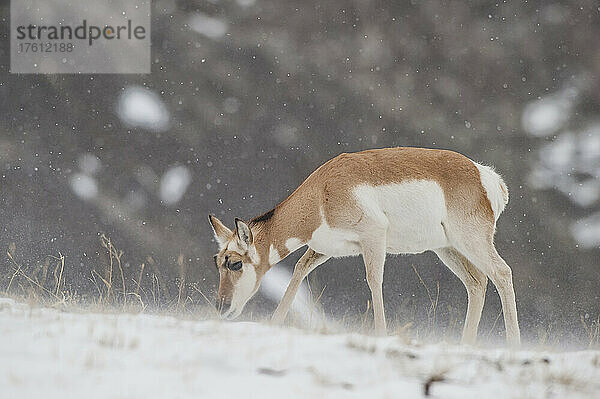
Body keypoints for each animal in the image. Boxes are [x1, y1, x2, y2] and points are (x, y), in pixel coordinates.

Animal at [210, 148, 520, 346]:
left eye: (235, 263)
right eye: (217, 261)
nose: (221, 308)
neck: (321, 192)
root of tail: (484, 175)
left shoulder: (373, 237)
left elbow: (373, 280)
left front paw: (381, 334)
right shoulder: (323, 250)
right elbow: (298, 271)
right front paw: (274, 323)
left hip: (471, 241)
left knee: (501, 273)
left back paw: (512, 344)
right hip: (448, 249)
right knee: (477, 282)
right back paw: (466, 344)